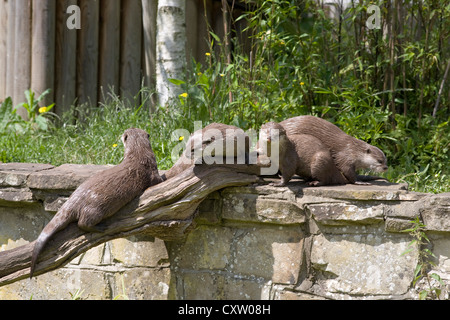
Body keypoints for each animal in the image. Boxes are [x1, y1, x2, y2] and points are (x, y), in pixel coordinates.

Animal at [29, 127, 163, 278]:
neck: (139, 153)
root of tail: (74, 200)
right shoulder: (151, 172)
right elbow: (158, 180)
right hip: (96, 208)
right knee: (82, 223)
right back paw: (100, 227)